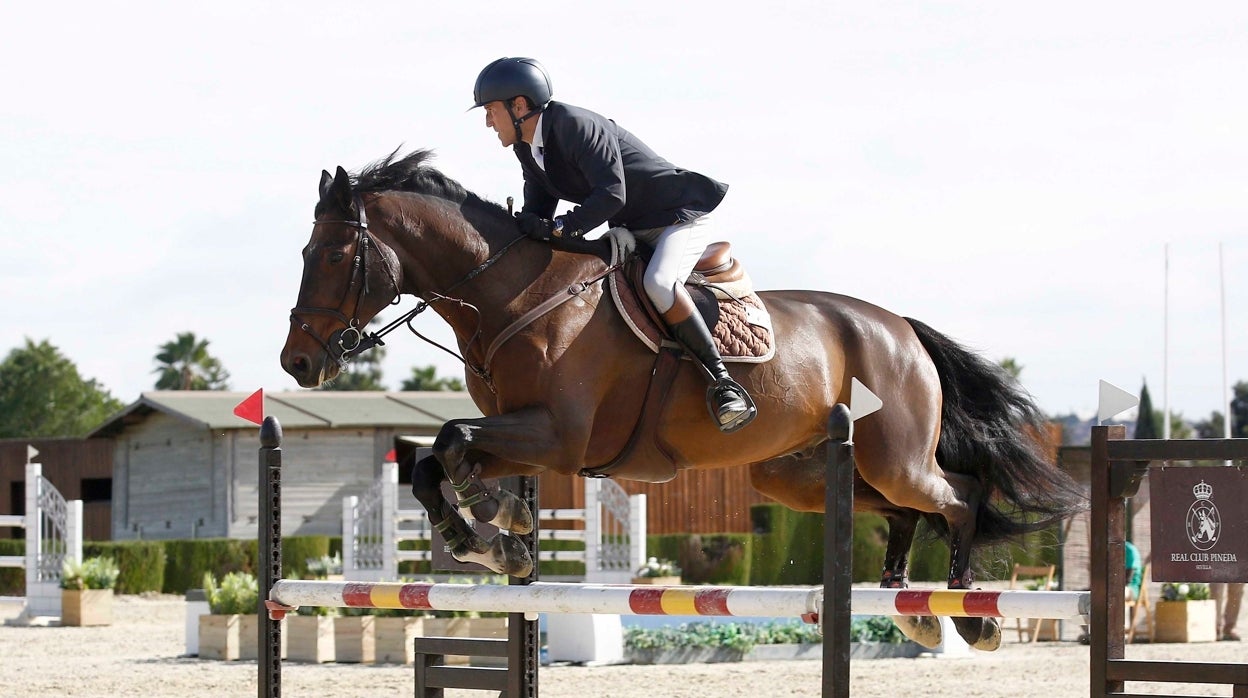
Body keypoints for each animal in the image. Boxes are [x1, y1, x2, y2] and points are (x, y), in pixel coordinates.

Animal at [280, 150, 1083, 654]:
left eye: (332, 255)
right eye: (304, 254)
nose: (298, 363)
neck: (512, 292)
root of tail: (902, 327)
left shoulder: (559, 436)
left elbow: (450, 440)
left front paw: (494, 525)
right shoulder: (529, 433)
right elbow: (433, 462)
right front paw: (500, 532)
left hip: (893, 456)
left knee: (959, 496)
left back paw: (969, 614)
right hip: (797, 476)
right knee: (903, 510)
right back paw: (909, 609)